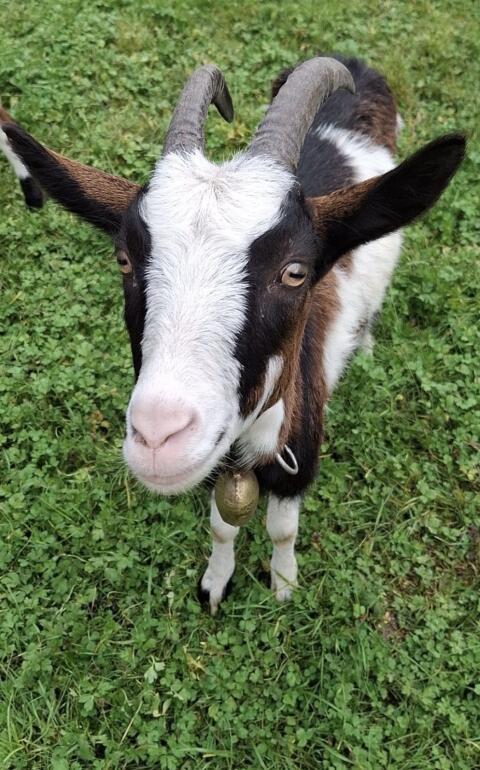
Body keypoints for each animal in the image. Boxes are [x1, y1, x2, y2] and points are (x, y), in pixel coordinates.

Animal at [0, 56, 465, 614]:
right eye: (124, 258)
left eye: (295, 272)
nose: (158, 437)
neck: (249, 451)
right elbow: (223, 528)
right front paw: (214, 585)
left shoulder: (297, 459)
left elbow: (283, 529)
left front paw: (283, 585)